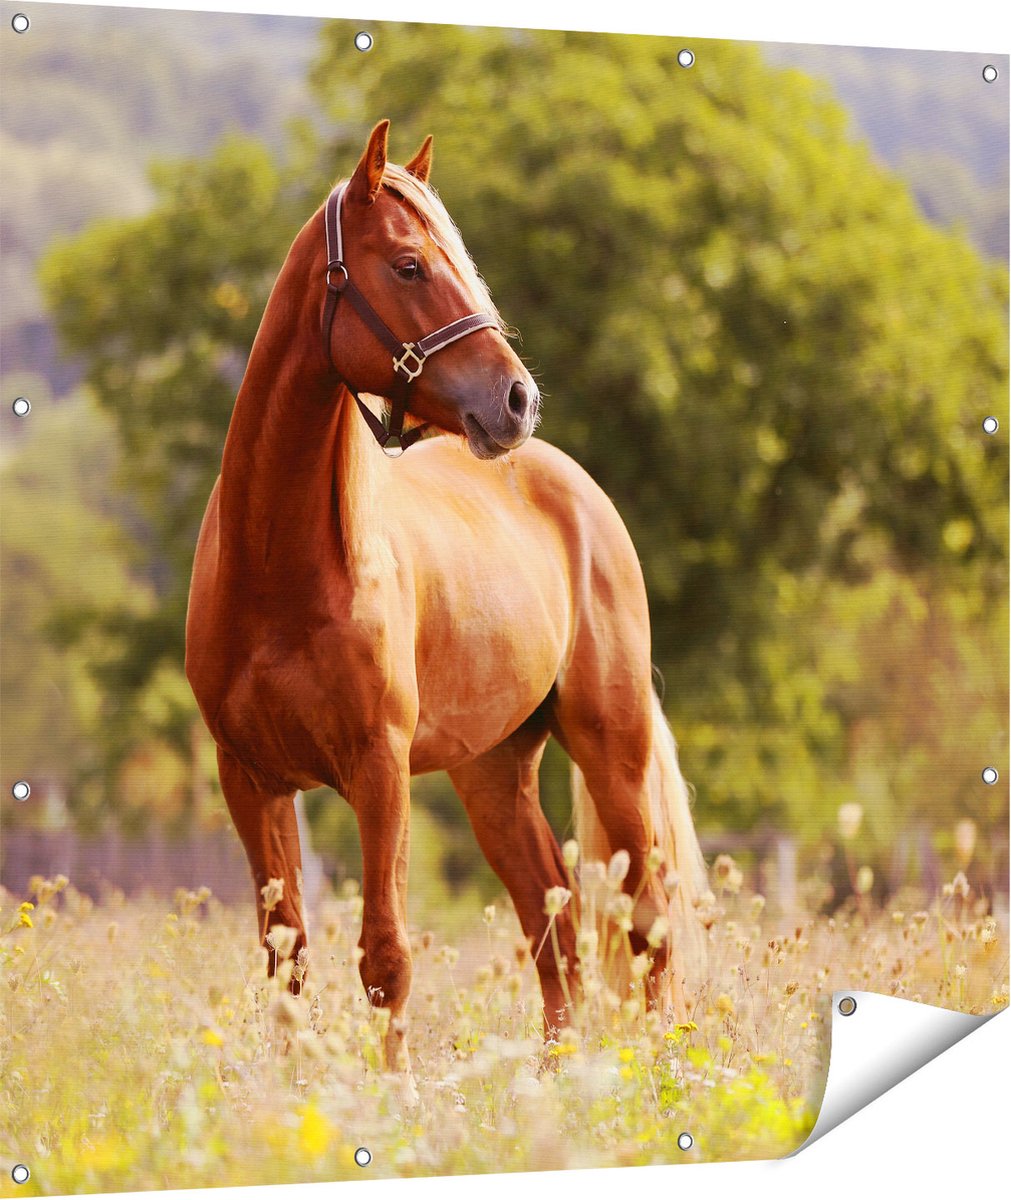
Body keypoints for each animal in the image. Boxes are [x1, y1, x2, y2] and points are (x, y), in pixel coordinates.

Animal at [185, 121, 707, 1085]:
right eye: (408, 266)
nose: (516, 399)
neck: (280, 568)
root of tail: (576, 489)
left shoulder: (378, 769)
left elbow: (384, 955)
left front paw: (392, 1097)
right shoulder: (250, 779)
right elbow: (287, 954)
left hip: (608, 748)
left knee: (646, 919)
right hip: (493, 771)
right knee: (553, 922)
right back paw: (554, 1081)